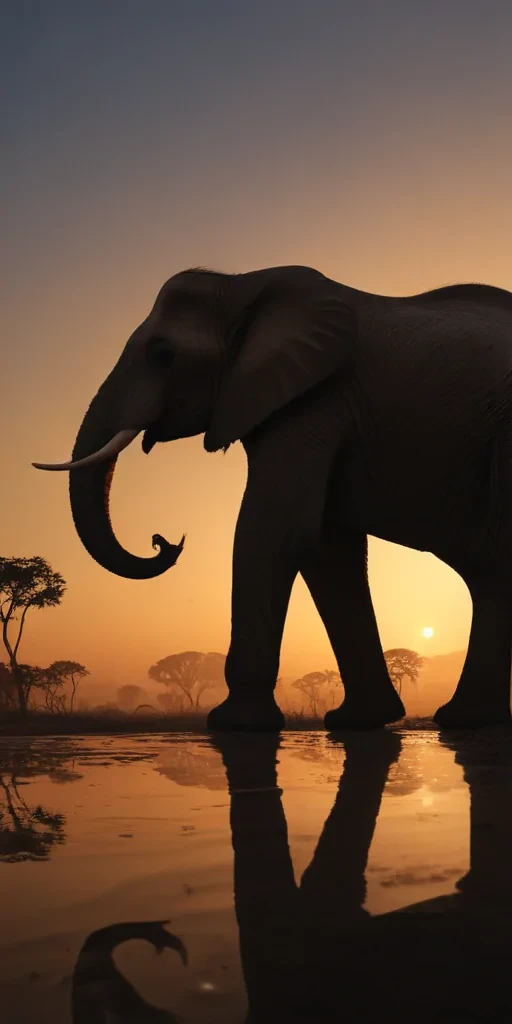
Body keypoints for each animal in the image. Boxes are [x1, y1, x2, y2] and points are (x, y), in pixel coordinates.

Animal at [32, 265, 512, 731]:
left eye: (162, 354)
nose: (165, 542)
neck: (242, 286)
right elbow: (327, 549)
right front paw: (356, 722)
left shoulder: (314, 400)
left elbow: (275, 531)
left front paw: (234, 724)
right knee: (487, 568)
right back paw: (468, 719)